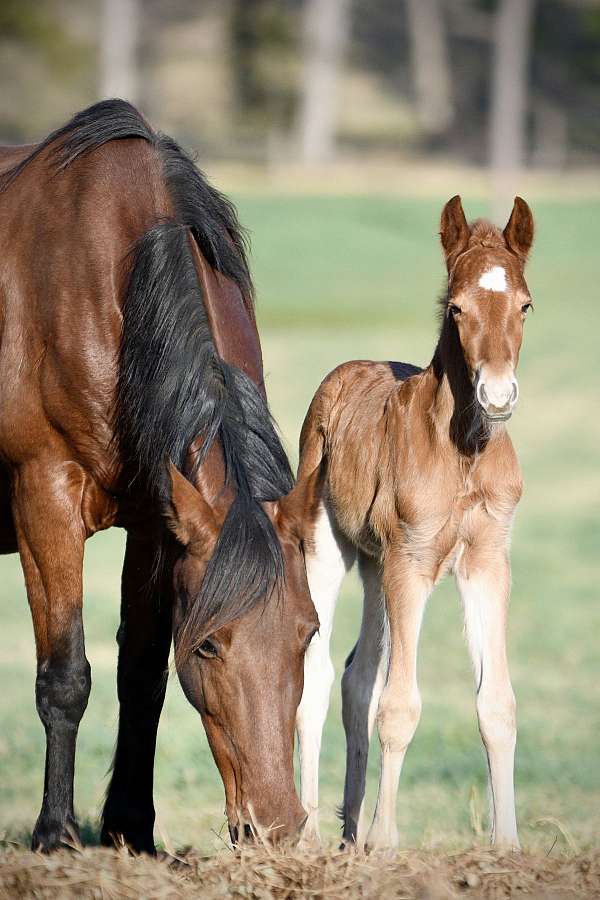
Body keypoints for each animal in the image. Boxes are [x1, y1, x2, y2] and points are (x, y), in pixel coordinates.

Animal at [0, 102, 318, 856]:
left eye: (309, 633)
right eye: (208, 644)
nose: (277, 826)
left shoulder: (157, 520)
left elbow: (141, 675)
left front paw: (131, 830)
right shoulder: (44, 499)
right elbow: (66, 676)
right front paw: (56, 835)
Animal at [296, 197, 536, 852]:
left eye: (525, 305)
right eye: (456, 308)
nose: (498, 394)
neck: (464, 453)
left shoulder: (487, 560)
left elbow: (497, 704)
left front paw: (508, 844)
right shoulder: (413, 559)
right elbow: (399, 705)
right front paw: (384, 843)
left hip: (377, 568)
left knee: (357, 678)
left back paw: (349, 831)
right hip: (331, 547)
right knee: (317, 676)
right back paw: (309, 834)